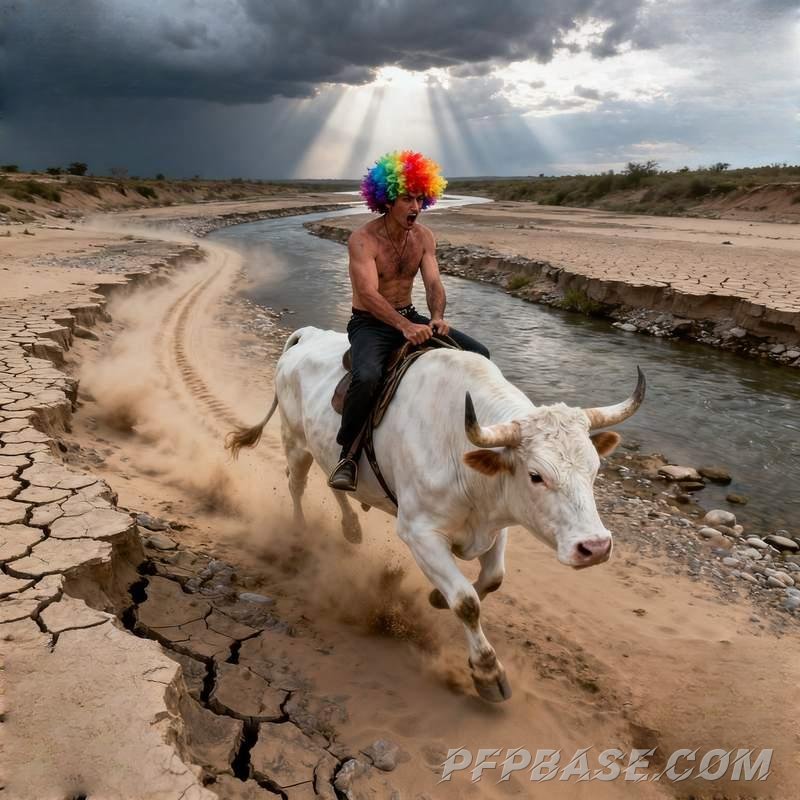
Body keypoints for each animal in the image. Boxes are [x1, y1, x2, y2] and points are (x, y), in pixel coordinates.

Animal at [227, 326, 645, 702]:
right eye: (536, 475)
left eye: (594, 468)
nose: (595, 547)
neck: (459, 449)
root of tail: (308, 335)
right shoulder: (419, 533)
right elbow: (467, 601)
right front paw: (487, 672)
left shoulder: (496, 523)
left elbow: (492, 579)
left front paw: (435, 599)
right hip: (295, 442)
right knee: (296, 484)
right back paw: (299, 538)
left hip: (326, 451)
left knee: (334, 484)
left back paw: (351, 528)